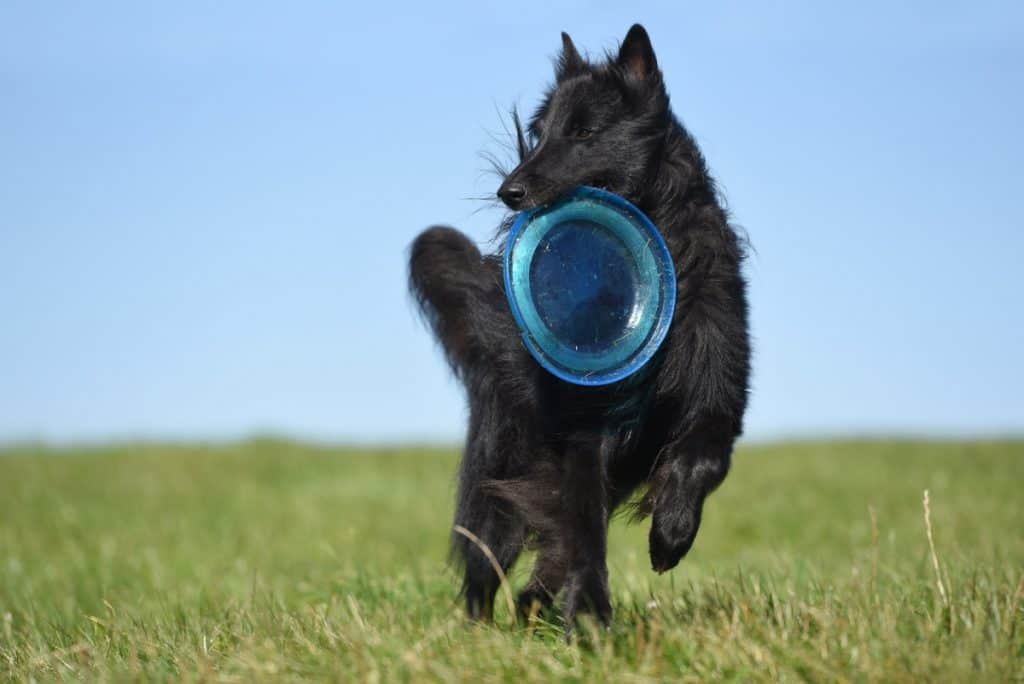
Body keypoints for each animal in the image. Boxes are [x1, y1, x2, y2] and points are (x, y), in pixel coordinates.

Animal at [409, 22, 753, 630]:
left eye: (585, 132)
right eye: (539, 134)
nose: (509, 192)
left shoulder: (718, 396)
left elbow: (702, 460)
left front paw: (671, 535)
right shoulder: (584, 435)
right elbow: (585, 530)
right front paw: (591, 617)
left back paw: (534, 606)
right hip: (500, 474)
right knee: (487, 562)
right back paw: (480, 631)